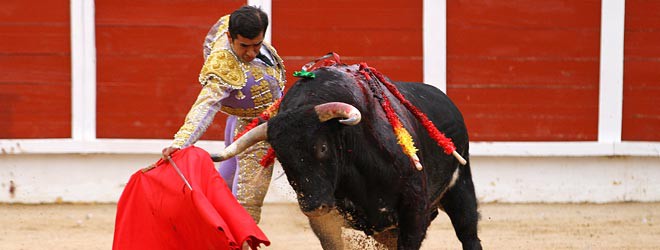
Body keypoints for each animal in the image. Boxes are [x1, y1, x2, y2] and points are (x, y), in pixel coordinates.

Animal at [215, 59, 480, 250]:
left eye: (322, 147)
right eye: (281, 157)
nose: (313, 206)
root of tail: (448, 102)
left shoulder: (413, 209)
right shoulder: (326, 222)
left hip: (460, 188)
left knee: (468, 234)